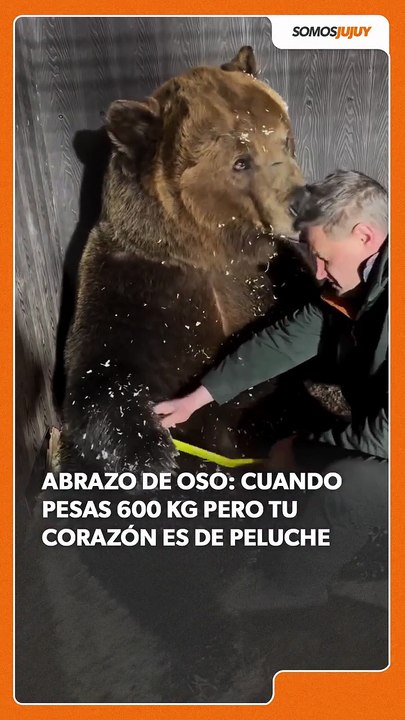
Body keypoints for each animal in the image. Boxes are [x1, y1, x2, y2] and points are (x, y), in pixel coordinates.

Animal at [59, 45, 306, 474]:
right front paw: (152, 451)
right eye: (241, 161)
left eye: (285, 139)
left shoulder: (273, 277)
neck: (213, 251)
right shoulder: (134, 281)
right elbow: (98, 372)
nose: (301, 201)